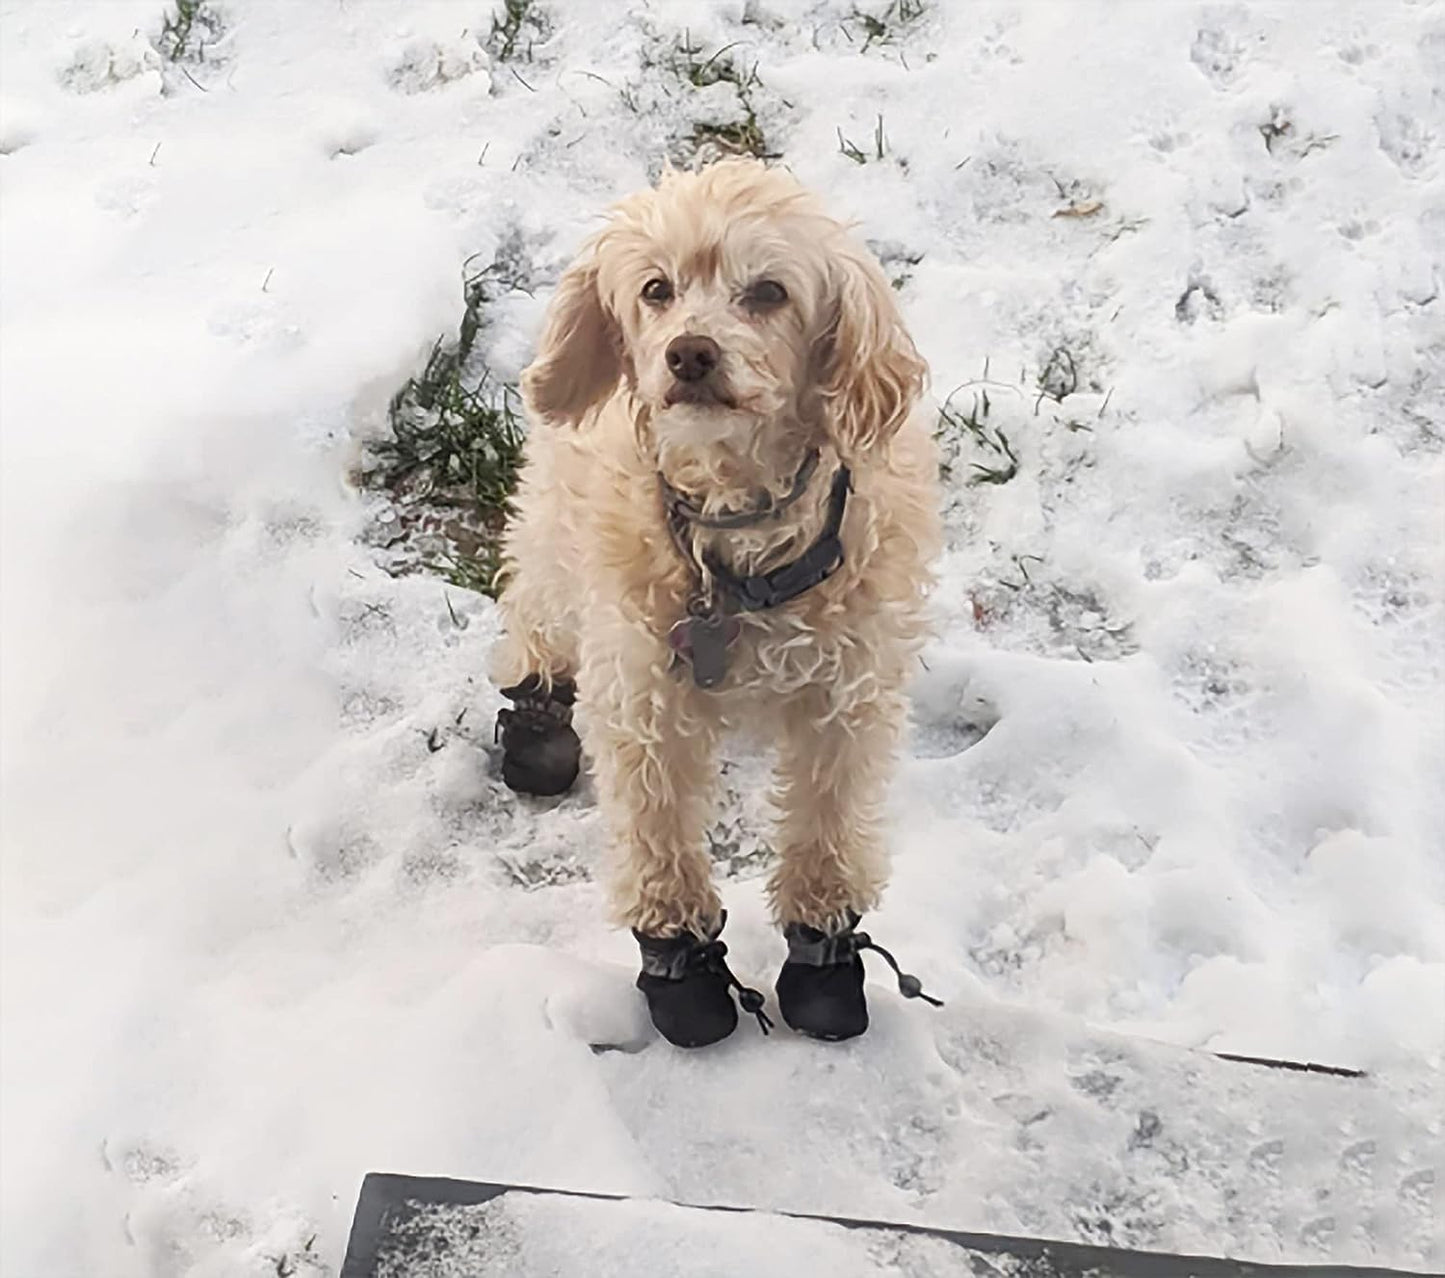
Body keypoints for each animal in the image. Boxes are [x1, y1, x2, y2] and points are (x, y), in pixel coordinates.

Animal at [491, 154, 942, 1040]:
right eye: (656, 289)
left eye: (768, 291)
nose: (689, 354)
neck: (739, 534)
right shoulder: (644, 696)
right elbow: (657, 830)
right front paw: (678, 966)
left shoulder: (848, 696)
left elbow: (827, 827)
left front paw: (822, 953)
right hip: (557, 528)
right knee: (535, 600)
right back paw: (534, 708)